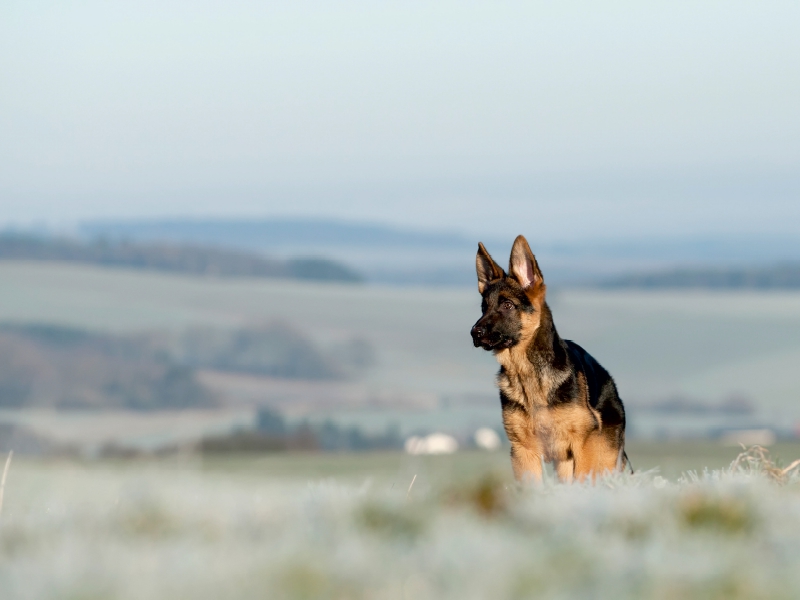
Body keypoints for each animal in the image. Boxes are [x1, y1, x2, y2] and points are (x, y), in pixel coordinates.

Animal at [472, 234, 628, 482]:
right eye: (484, 307)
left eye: (507, 305)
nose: (474, 333)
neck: (528, 375)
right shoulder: (523, 452)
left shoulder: (583, 447)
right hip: (564, 464)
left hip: (601, 459)